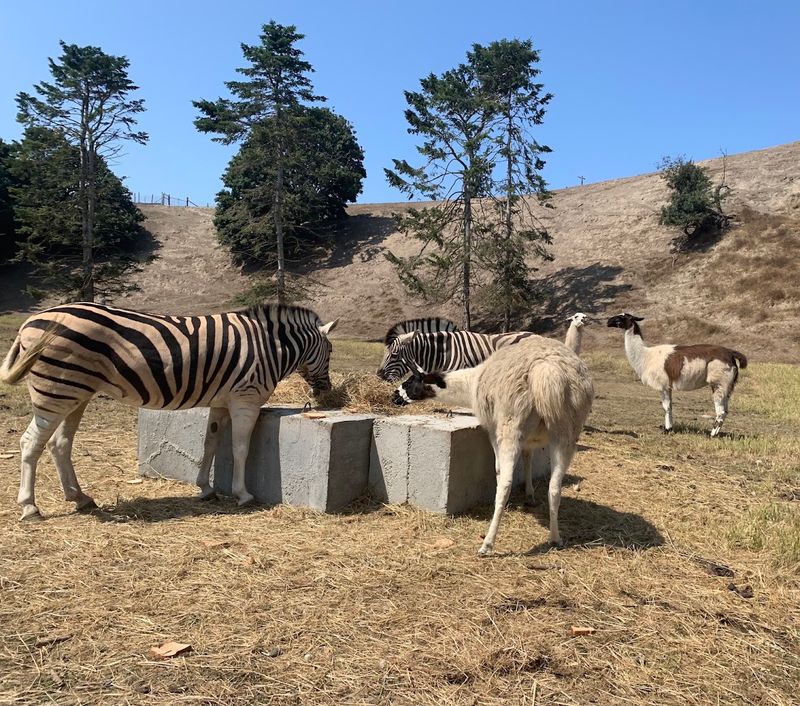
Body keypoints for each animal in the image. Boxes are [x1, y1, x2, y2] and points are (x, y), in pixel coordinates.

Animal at [0, 302, 338, 521]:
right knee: (30, 443)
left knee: (59, 444)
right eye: (331, 351)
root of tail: (30, 321)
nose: (325, 392)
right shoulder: (246, 399)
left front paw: (205, 488)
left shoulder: (221, 402)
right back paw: (30, 508)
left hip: (75, 393)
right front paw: (243, 495)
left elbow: (210, 444)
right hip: (56, 391)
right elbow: (240, 449)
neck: (270, 348)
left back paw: (80, 499)